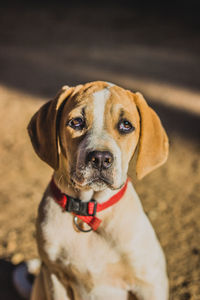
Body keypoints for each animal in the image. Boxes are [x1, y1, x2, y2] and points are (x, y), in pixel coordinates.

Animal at [27, 81, 169, 298]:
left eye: (126, 125)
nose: (101, 158)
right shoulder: (55, 276)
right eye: (76, 122)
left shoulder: (149, 283)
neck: (89, 208)